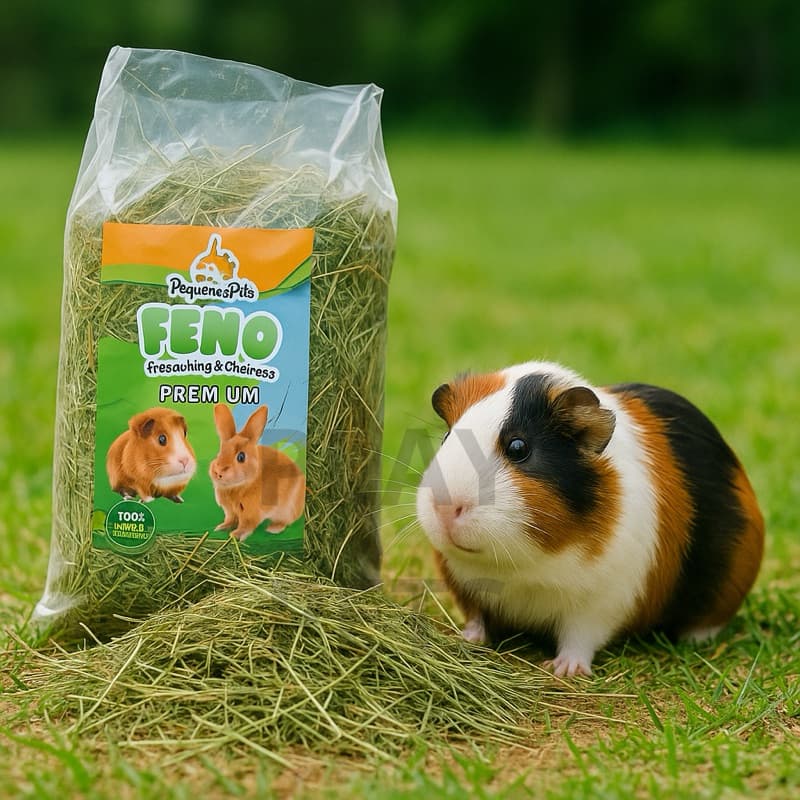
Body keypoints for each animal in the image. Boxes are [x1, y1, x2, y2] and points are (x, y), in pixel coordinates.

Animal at [209, 404, 306, 541]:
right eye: (219, 453)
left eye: (241, 457)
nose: (218, 472)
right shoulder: (230, 510)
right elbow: (230, 519)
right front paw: (221, 527)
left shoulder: (250, 513)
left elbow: (246, 525)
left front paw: (236, 535)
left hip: (286, 510)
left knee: (285, 521)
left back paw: (273, 529)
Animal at [416, 361, 764, 676]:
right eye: (447, 438)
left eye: (518, 447)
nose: (446, 506)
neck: (520, 567)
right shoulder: (467, 587)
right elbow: (477, 619)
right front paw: (465, 639)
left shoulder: (602, 602)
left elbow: (579, 638)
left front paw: (564, 670)